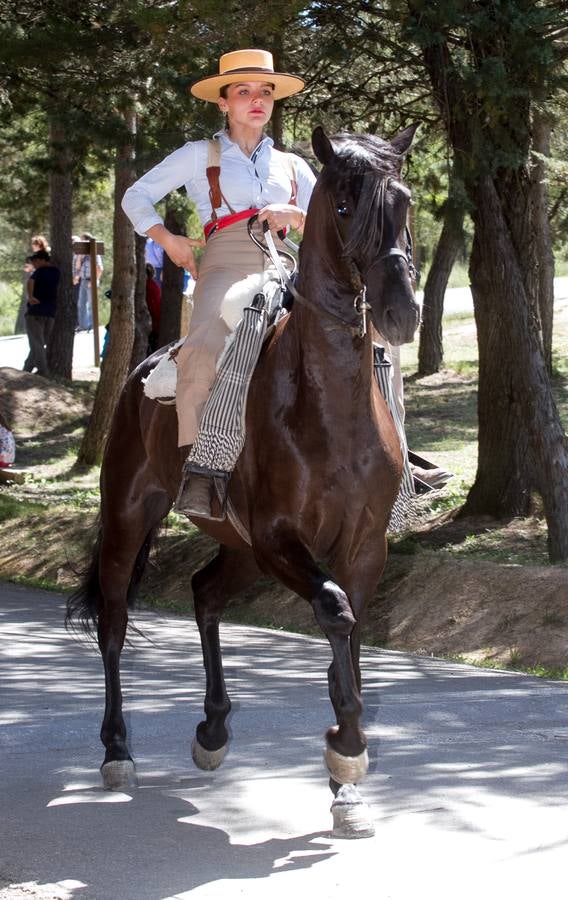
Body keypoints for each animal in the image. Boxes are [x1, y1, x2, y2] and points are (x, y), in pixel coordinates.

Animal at [67, 123, 422, 840]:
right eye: (343, 204)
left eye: (405, 201)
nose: (400, 311)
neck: (330, 400)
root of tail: (143, 367)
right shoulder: (281, 538)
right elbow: (335, 613)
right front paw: (347, 751)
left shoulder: (363, 548)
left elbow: (353, 636)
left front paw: (347, 783)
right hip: (131, 518)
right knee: (114, 622)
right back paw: (118, 752)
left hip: (240, 549)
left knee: (204, 593)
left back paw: (213, 728)